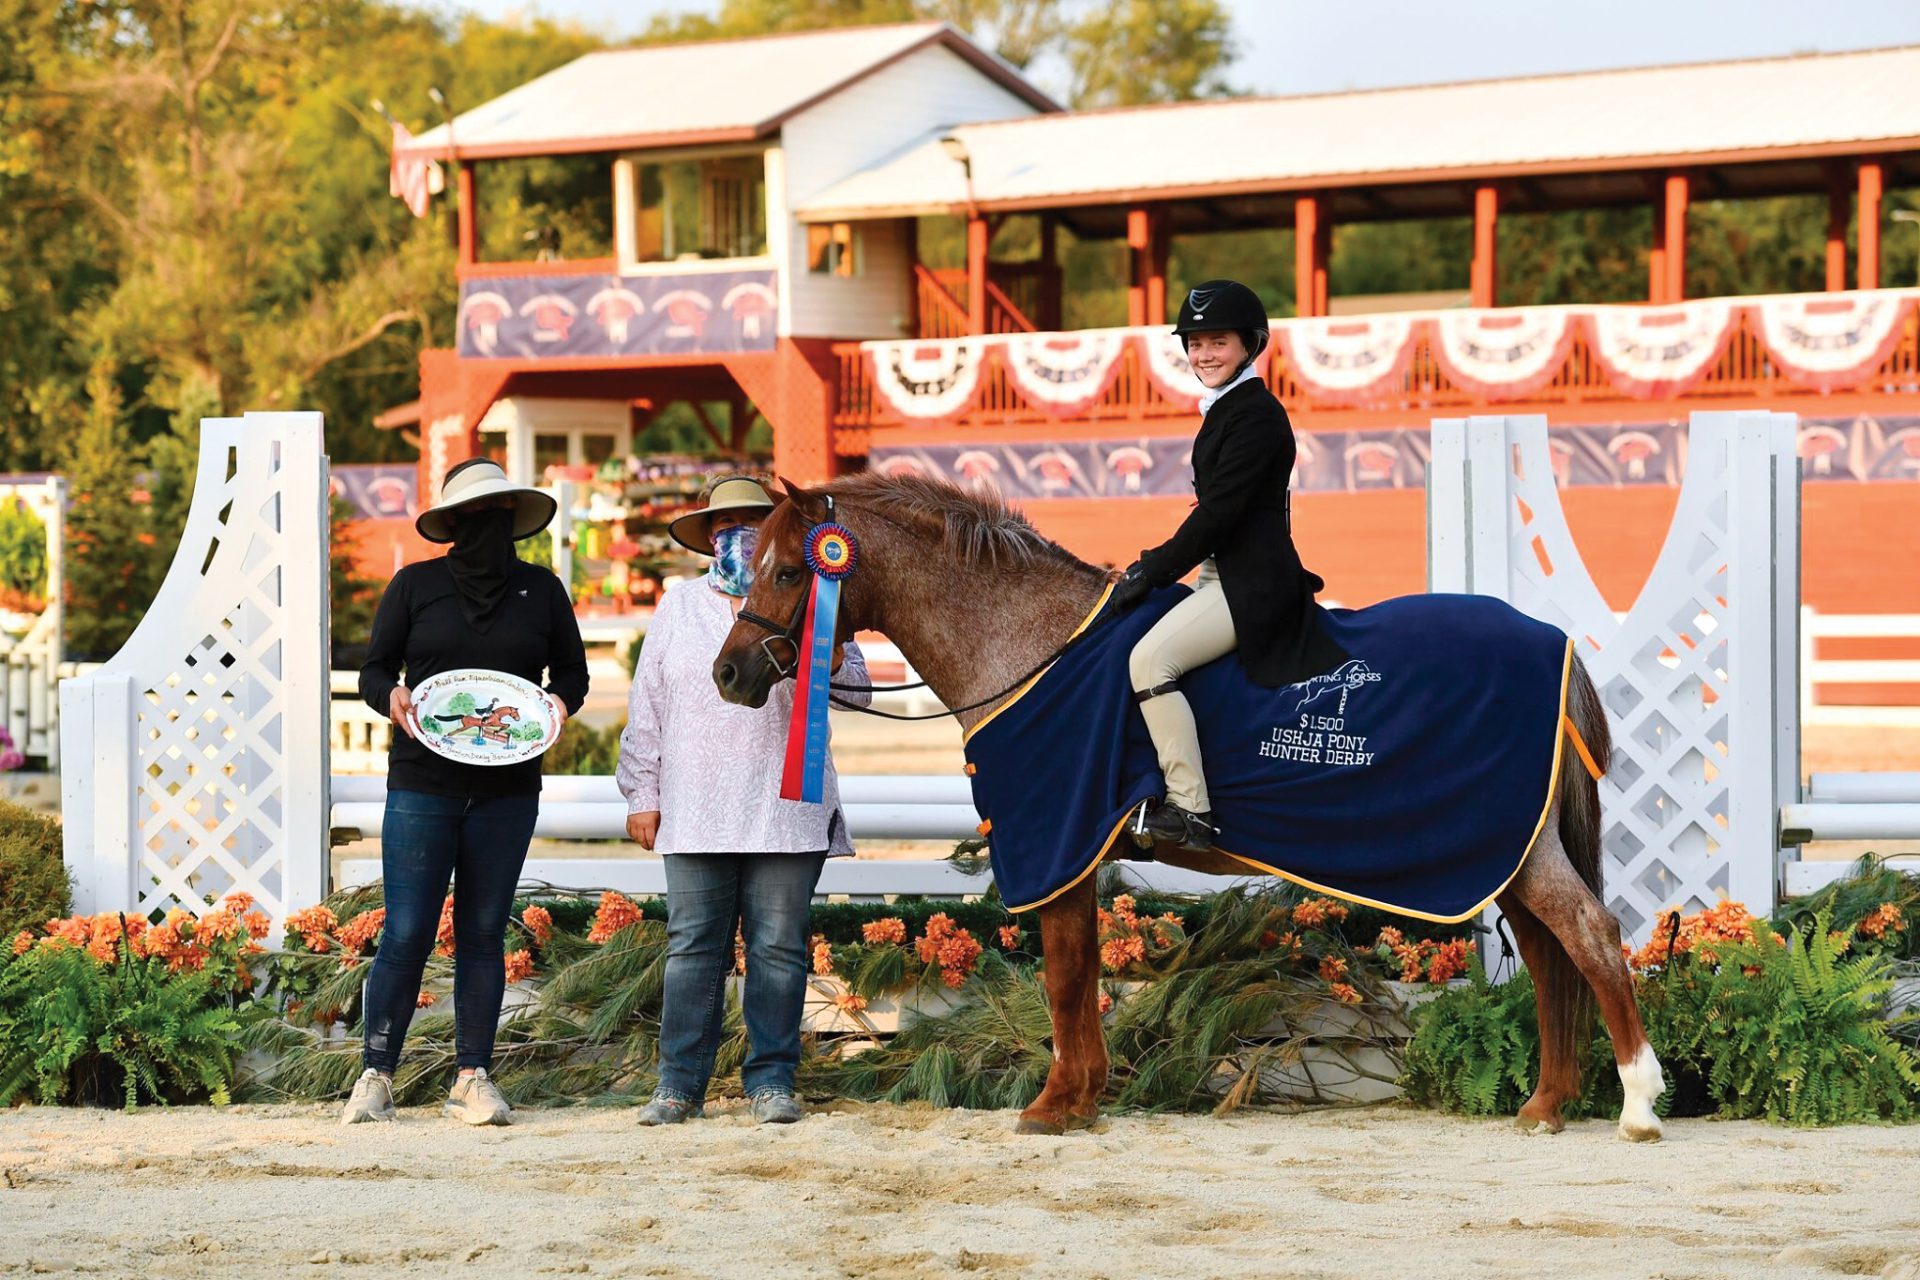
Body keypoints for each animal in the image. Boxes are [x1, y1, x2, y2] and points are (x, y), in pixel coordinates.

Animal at [711, 472, 1663, 1142]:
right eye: (747, 569)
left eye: (792, 569)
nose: (729, 673)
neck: (1035, 646)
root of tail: (1551, 642)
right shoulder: (1075, 848)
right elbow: (1082, 973)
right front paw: (1085, 1099)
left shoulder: (1055, 837)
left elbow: (1063, 977)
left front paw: (1054, 1105)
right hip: (1505, 852)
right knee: (1552, 955)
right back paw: (1546, 1105)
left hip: (1515, 850)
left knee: (1591, 939)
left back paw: (1638, 1104)